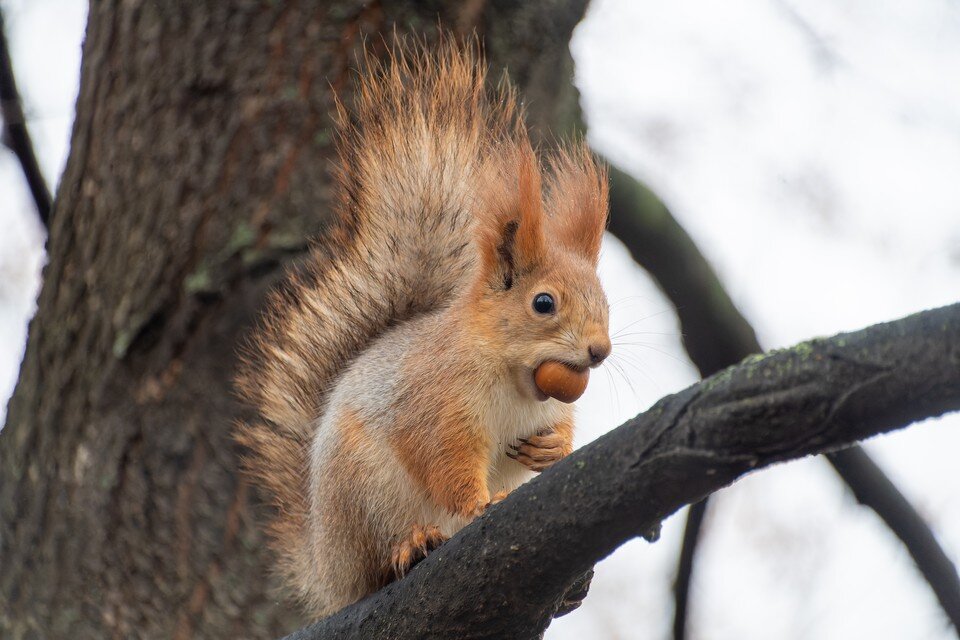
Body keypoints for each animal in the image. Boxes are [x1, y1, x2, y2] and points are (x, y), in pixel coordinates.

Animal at [234, 41, 608, 620]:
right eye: (543, 303)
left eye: (606, 301)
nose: (600, 350)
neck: (516, 381)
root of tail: (327, 569)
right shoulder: (436, 403)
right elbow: (444, 460)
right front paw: (478, 503)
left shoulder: (549, 407)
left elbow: (560, 432)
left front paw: (551, 451)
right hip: (363, 495)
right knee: (379, 561)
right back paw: (411, 544)